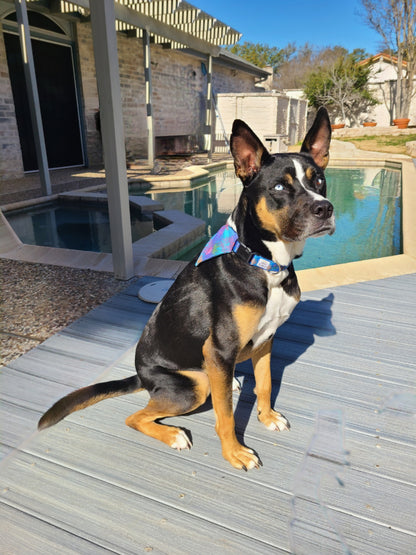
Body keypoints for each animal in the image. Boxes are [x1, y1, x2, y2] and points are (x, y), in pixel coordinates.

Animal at [39, 107, 334, 470]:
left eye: (318, 179)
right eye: (280, 186)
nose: (325, 208)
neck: (263, 262)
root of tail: (142, 377)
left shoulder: (266, 340)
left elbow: (264, 385)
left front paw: (267, 417)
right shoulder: (219, 349)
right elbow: (226, 416)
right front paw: (234, 452)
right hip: (195, 385)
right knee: (135, 417)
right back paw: (174, 435)